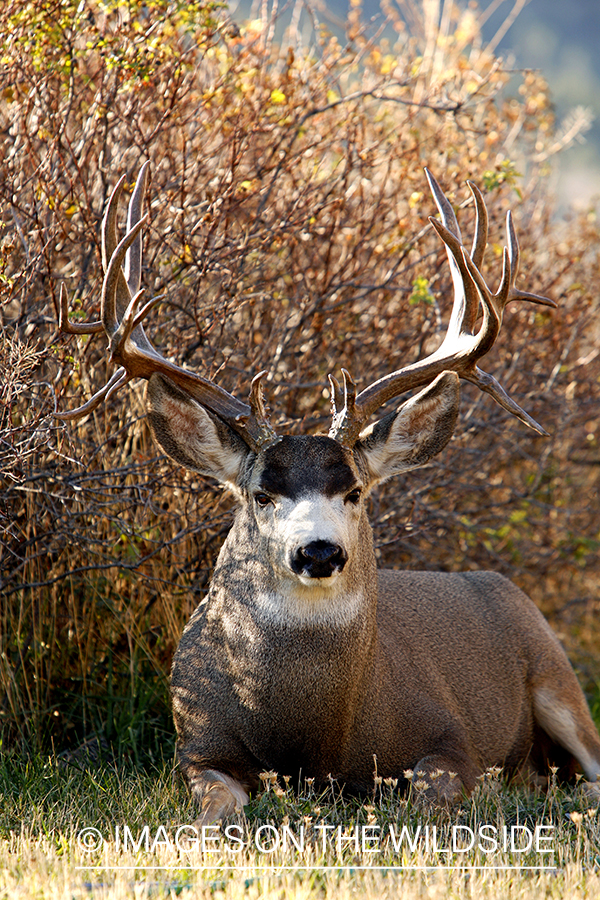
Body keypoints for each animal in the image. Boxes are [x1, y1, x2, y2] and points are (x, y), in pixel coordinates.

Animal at [57, 162, 600, 824]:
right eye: (260, 495)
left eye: (356, 491)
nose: (318, 551)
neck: (312, 739)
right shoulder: (196, 747)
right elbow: (213, 806)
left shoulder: (453, 735)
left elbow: (431, 792)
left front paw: (494, 789)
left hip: (557, 672)